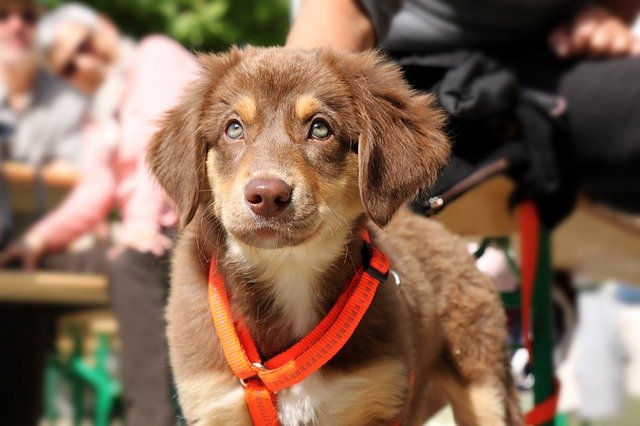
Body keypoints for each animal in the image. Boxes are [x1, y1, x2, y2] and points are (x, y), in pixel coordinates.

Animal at [148, 47, 524, 426]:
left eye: (320, 128)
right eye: (234, 129)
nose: (267, 195)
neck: (290, 270)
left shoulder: (378, 394)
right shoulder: (214, 401)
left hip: (483, 385)